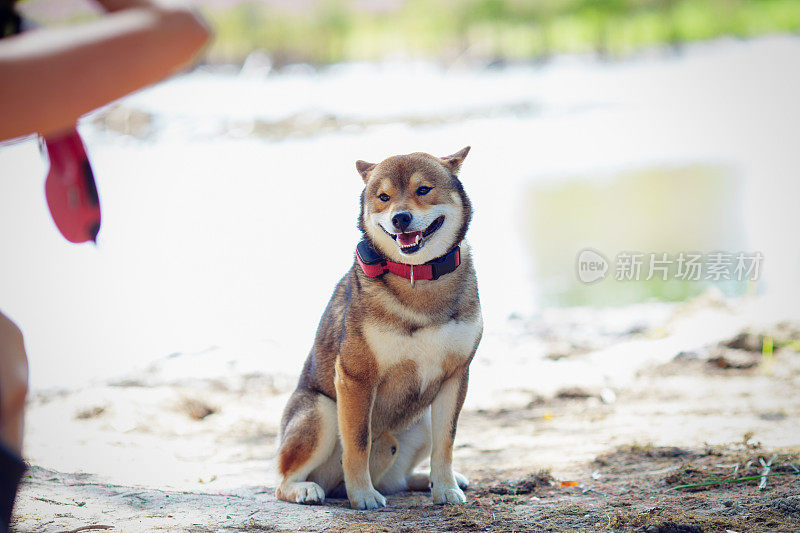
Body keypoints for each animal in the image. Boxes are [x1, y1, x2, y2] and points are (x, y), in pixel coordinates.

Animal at [276, 145, 482, 508]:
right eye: (383, 197)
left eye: (423, 190)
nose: (400, 218)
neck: (418, 277)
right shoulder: (356, 377)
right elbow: (358, 443)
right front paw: (362, 495)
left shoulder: (456, 375)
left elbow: (447, 441)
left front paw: (445, 488)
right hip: (321, 411)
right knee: (284, 480)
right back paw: (305, 489)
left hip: (421, 422)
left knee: (397, 480)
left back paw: (424, 481)